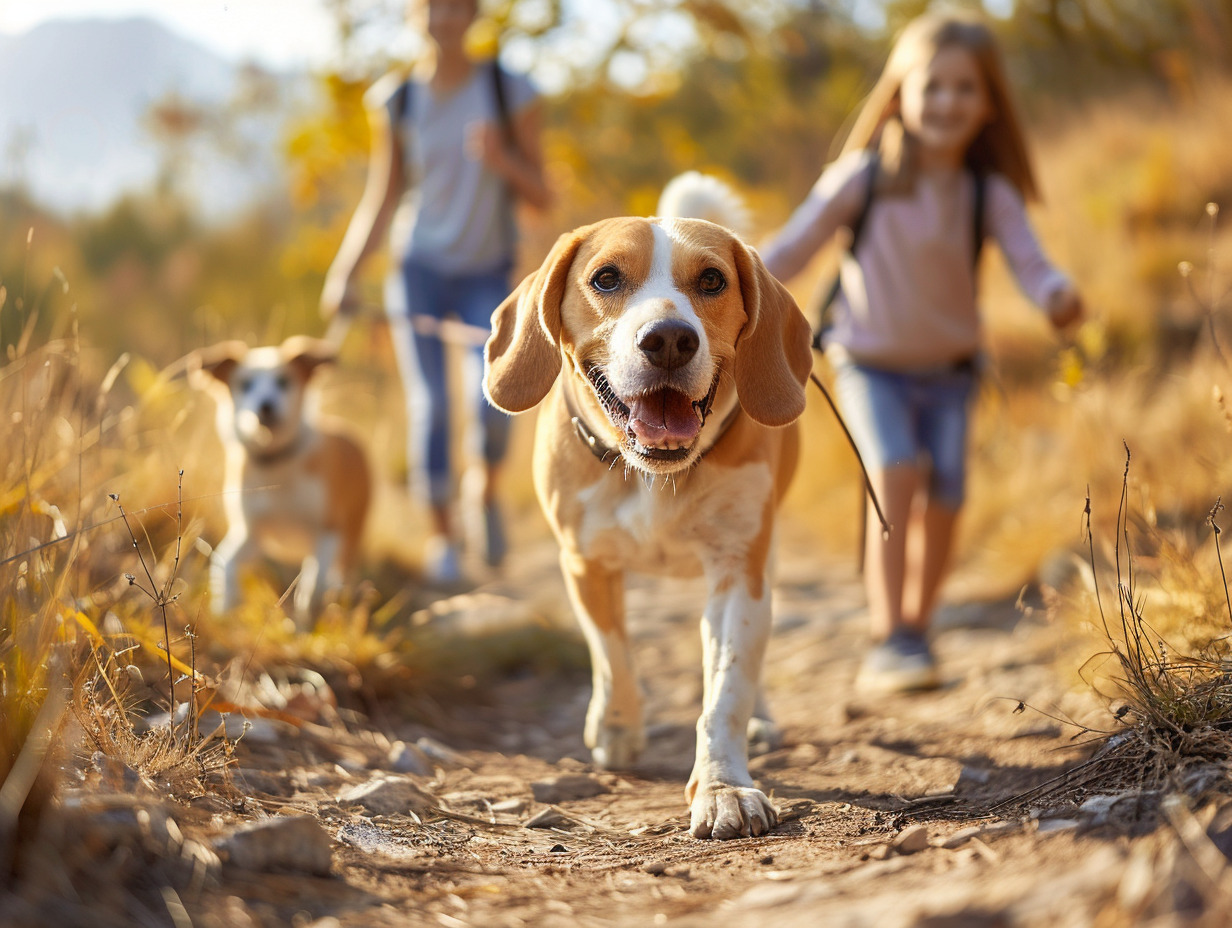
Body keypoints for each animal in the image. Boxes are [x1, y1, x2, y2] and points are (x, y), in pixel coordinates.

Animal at [187, 332, 369, 623]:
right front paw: (225, 607)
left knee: (338, 572)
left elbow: (315, 584)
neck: (276, 464)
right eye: (245, 384)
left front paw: (306, 614)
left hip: (352, 532)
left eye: (284, 381)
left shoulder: (329, 530)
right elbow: (224, 562)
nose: (266, 406)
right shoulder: (251, 533)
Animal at [482, 175, 818, 838]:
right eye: (607, 278)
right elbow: (613, 655)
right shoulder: (586, 563)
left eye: (712, 280)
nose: (668, 339)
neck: (654, 476)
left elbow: (727, 690)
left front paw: (723, 787)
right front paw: (617, 728)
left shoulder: (738, 571)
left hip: (761, 561)